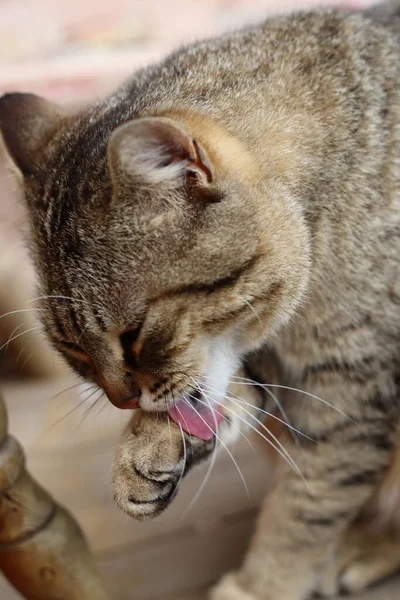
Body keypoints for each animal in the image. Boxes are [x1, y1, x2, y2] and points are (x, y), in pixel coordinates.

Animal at [0, 1, 400, 600]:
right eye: (73, 351)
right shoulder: (275, 372)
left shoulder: (351, 391)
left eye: (134, 334)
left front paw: (261, 585)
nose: (121, 401)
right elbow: (219, 399)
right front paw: (148, 446)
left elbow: (304, 507)